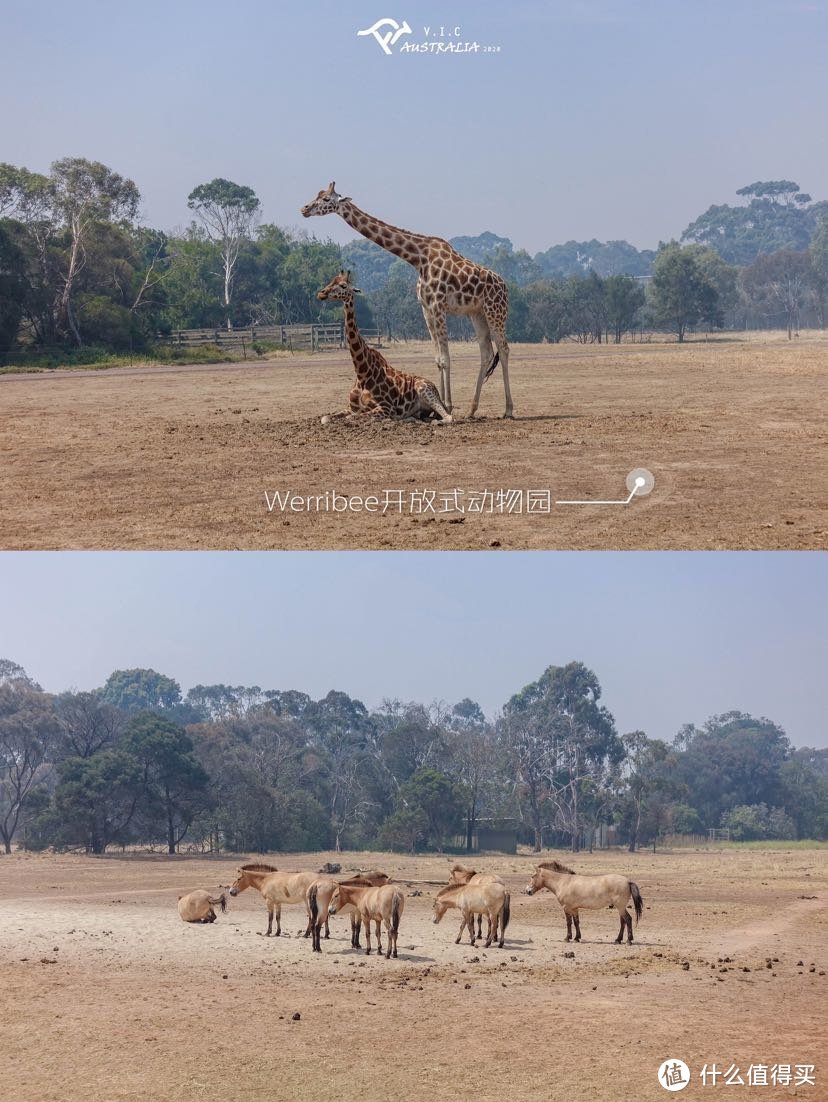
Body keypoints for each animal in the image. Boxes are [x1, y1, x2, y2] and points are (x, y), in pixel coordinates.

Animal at [317, 269, 454, 420]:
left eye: (343, 285)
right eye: (331, 280)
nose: (321, 293)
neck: (362, 373)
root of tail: (434, 386)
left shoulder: (386, 408)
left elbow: (353, 418)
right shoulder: (351, 408)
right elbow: (325, 418)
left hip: (424, 389)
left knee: (448, 416)